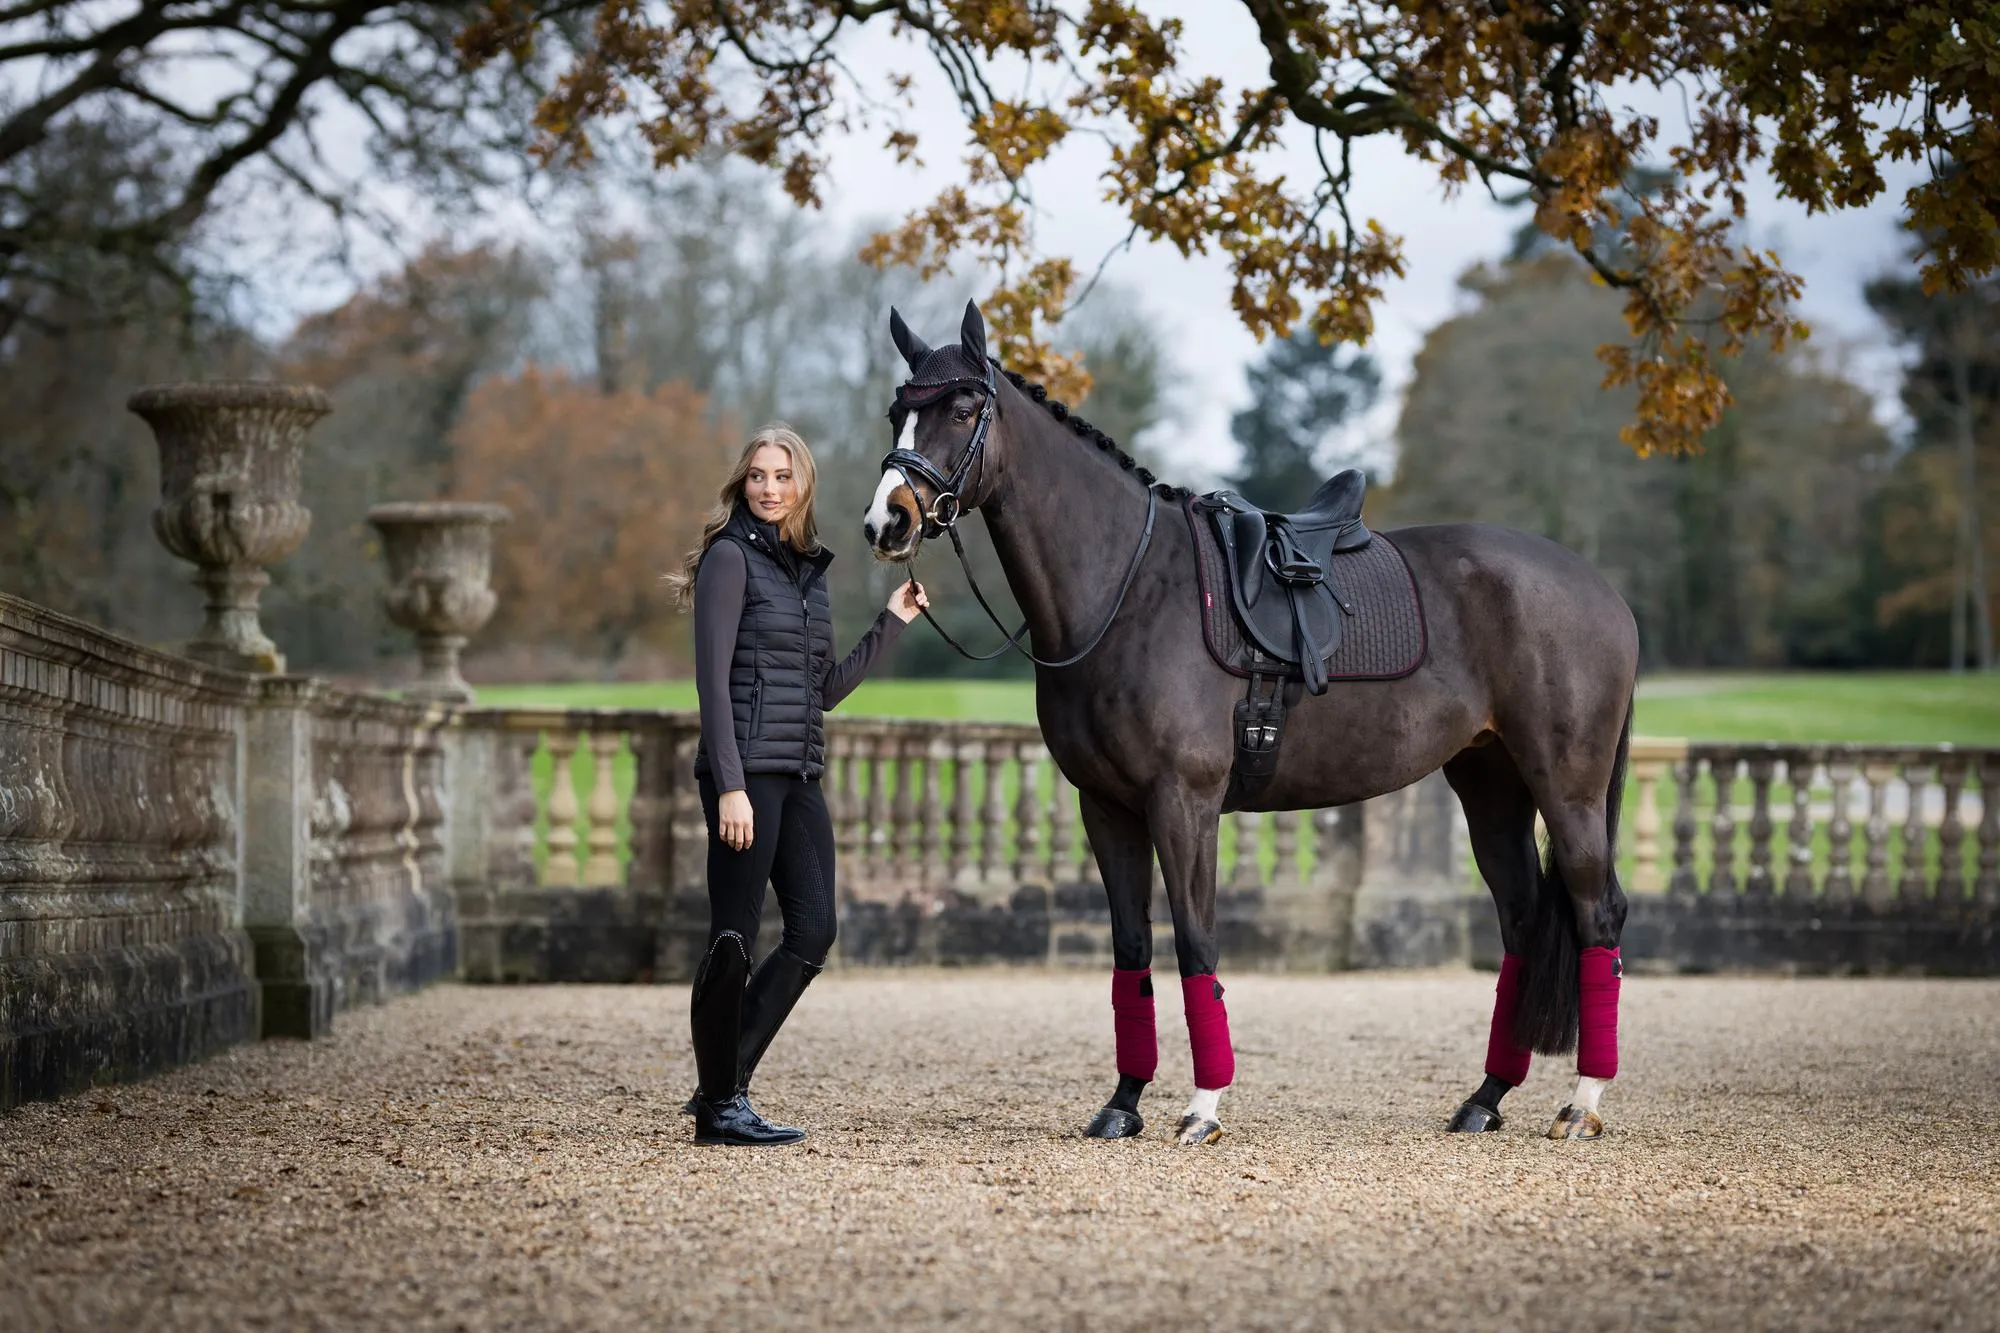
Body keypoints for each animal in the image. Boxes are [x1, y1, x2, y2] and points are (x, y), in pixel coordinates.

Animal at [864, 304, 1640, 1144]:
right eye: (899, 411)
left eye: (962, 409)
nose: (887, 520)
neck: (1129, 589)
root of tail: (1605, 593)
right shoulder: (1106, 808)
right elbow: (1131, 948)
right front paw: (1124, 1101)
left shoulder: (1184, 801)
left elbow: (1196, 940)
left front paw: (1203, 1106)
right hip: (1492, 786)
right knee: (1525, 922)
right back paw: (1486, 1096)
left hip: (1567, 788)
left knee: (1598, 915)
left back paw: (1581, 1103)